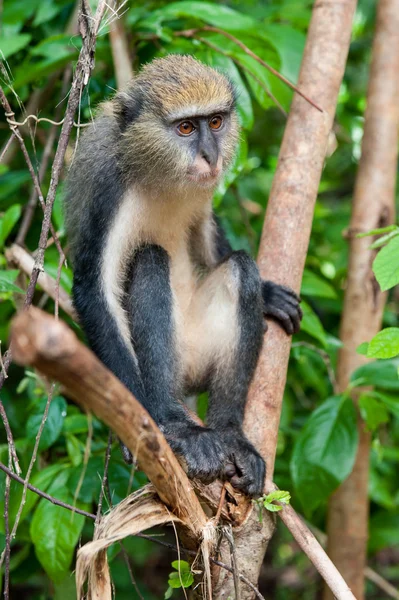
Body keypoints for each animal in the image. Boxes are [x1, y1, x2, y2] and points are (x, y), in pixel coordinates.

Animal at [65, 55, 304, 496]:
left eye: (215, 122)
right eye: (186, 128)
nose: (210, 155)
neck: (158, 173)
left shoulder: (203, 194)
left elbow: (205, 237)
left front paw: (268, 293)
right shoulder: (107, 189)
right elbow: (94, 289)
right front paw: (154, 424)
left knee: (240, 268)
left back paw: (231, 435)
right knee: (148, 261)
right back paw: (177, 426)